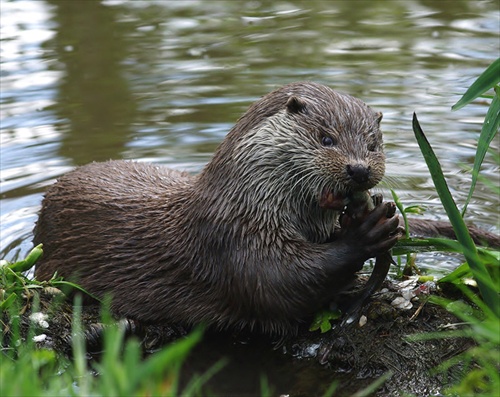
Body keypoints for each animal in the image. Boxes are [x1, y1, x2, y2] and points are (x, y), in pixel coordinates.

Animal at [33, 82, 402, 332]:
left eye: (372, 145)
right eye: (326, 139)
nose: (359, 169)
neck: (244, 203)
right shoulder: (233, 239)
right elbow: (282, 280)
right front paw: (366, 231)